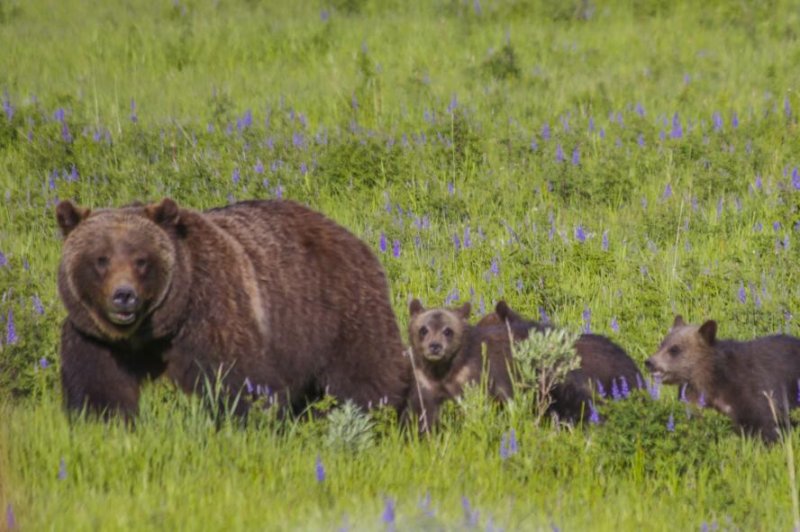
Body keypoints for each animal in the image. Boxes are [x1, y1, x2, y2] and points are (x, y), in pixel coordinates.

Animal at [54, 197, 412, 418]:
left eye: (141, 260)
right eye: (101, 259)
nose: (123, 296)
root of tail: (349, 235)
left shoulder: (212, 312)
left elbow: (240, 380)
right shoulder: (96, 340)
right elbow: (99, 389)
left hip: (338, 312)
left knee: (365, 373)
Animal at [406, 300, 512, 432]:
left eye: (447, 331)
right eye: (423, 330)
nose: (435, 346)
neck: (441, 371)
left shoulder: (468, 378)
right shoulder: (425, 382)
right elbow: (423, 412)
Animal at [648, 316, 800, 444]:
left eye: (674, 349)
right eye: (662, 344)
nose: (649, 362)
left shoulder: (750, 388)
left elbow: (764, 422)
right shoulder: (693, 397)